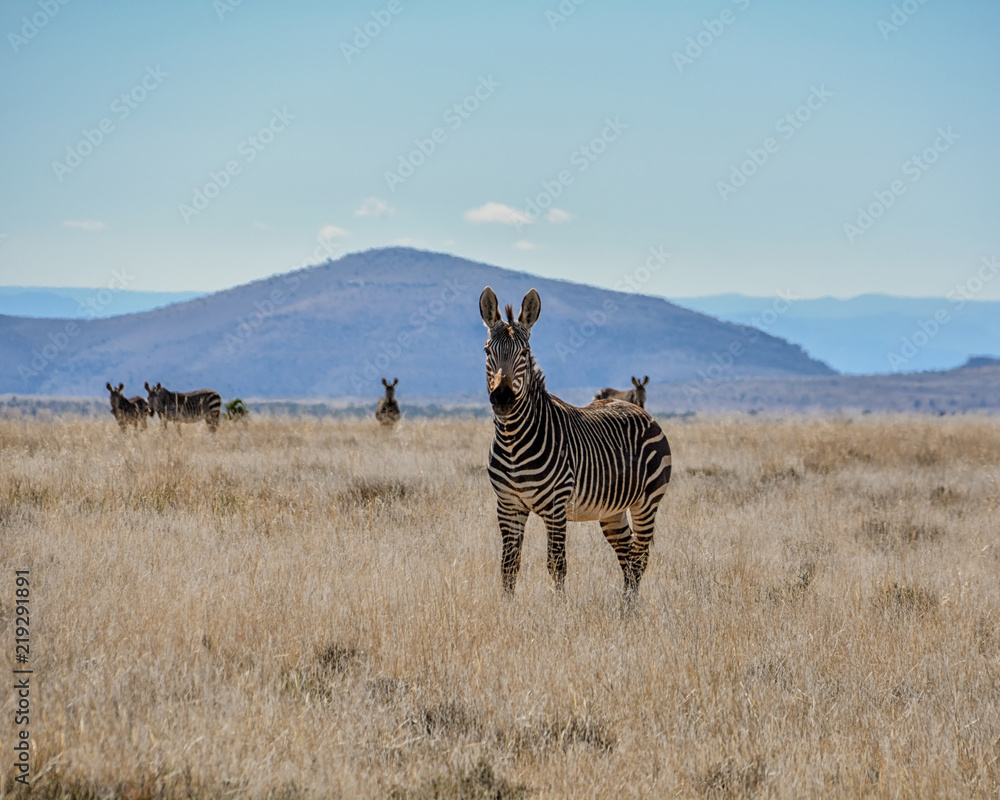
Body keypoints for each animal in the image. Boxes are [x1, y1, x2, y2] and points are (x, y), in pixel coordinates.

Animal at [479, 287, 672, 602]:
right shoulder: (508, 506)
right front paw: (507, 609)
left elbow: (557, 565)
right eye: (487, 351)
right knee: (627, 557)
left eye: (525, 353)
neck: (513, 442)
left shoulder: (556, 507)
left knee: (639, 559)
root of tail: (639, 408)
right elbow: (509, 565)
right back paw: (624, 608)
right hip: (613, 511)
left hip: (647, 502)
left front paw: (558, 611)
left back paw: (630, 610)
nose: (504, 399)